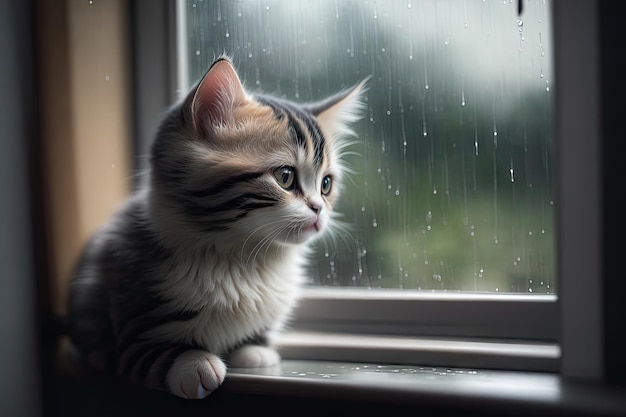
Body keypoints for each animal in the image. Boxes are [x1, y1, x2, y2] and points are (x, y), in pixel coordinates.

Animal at [66, 57, 366, 398]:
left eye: (326, 184)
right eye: (286, 177)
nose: (318, 209)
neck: (243, 259)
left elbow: (254, 339)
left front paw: (254, 351)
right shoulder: (133, 325)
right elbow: (153, 353)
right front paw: (194, 364)